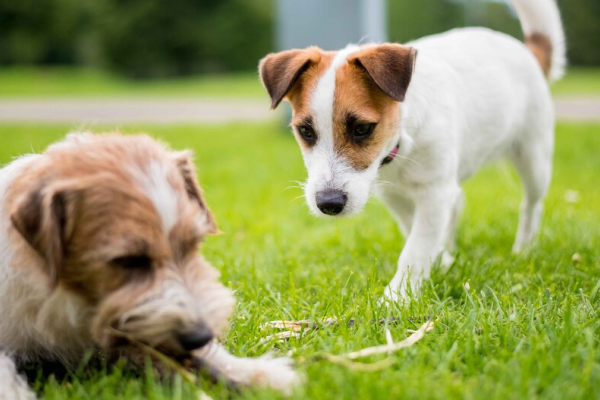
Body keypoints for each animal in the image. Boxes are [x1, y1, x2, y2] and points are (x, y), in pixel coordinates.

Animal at [258, 0, 568, 300]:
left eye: (362, 129)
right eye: (305, 131)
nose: (328, 204)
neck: (401, 147)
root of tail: (528, 52)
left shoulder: (434, 192)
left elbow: (416, 248)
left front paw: (397, 297)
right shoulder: (396, 196)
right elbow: (415, 233)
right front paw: (440, 263)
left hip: (534, 158)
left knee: (531, 205)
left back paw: (523, 249)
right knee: (458, 204)